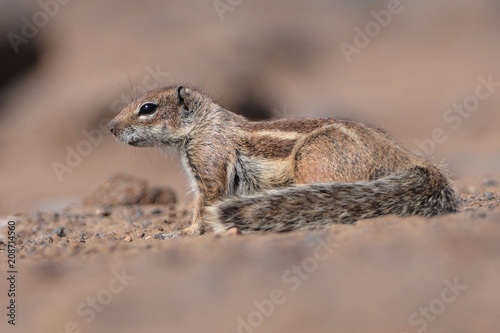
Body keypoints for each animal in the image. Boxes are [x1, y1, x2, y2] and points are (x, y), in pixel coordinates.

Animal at [107, 87, 458, 235]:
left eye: (148, 108)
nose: (111, 127)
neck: (206, 123)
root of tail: (402, 157)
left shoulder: (209, 161)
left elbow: (205, 202)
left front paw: (187, 230)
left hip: (315, 162)